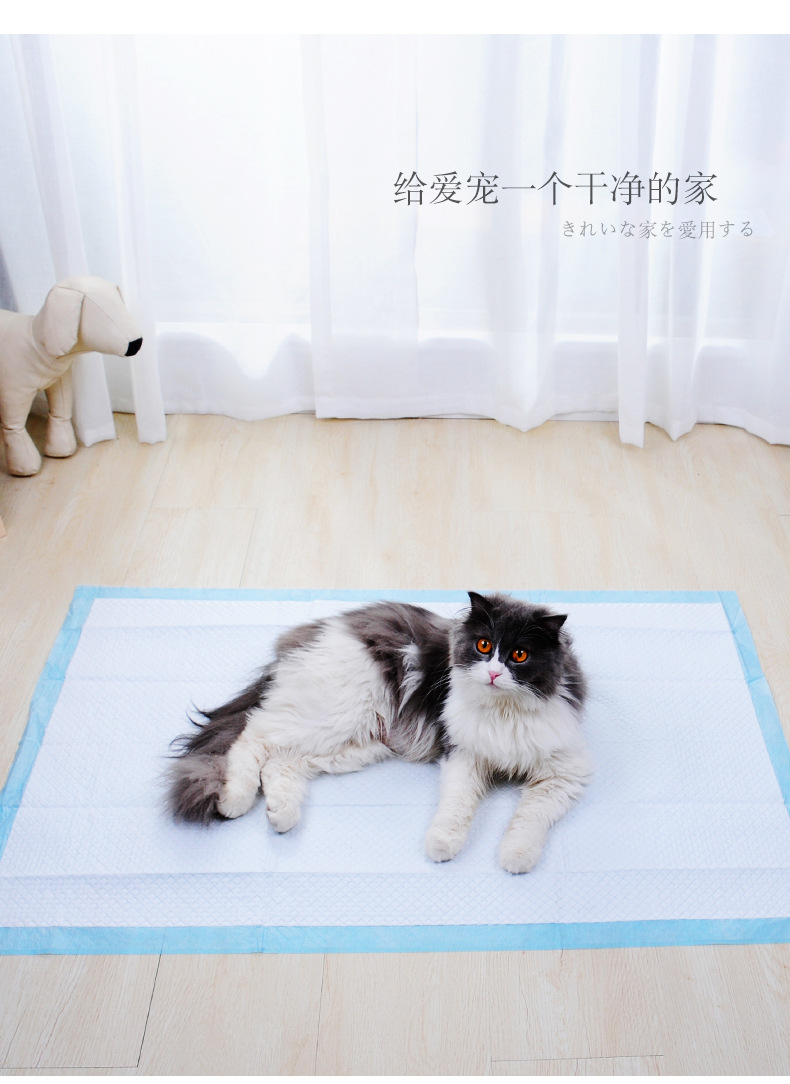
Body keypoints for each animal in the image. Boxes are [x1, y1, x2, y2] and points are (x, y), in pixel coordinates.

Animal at [167, 591, 591, 874]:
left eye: (519, 655)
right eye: (483, 646)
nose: (492, 674)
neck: (506, 712)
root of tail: (311, 636)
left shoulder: (563, 774)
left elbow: (529, 819)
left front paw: (515, 857)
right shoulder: (463, 757)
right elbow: (456, 809)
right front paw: (442, 845)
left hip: (355, 741)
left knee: (281, 764)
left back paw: (281, 815)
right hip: (332, 715)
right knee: (253, 735)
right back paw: (234, 800)